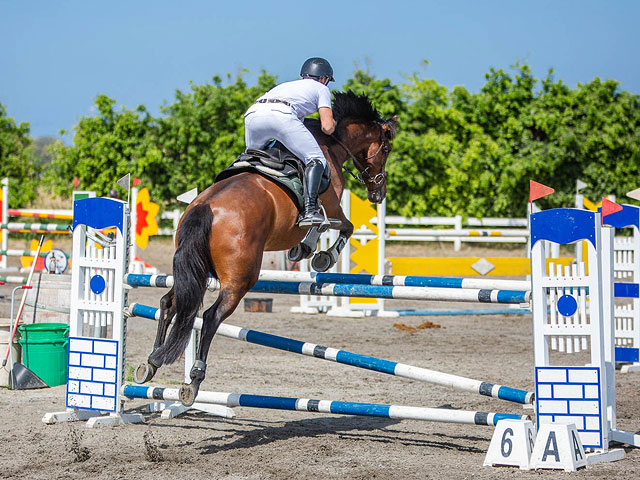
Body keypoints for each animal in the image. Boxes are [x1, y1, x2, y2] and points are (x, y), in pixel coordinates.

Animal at [134, 91, 396, 404]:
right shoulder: (331, 208)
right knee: (210, 317)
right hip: (240, 278)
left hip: (195, 271)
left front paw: (304, 251)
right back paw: (194, 381)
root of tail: (205, 207)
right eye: (386, 149)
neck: (331, 146)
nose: (378, 193)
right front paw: (321, 256)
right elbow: (342, 226)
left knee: (171, 303)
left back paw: (151, 362)